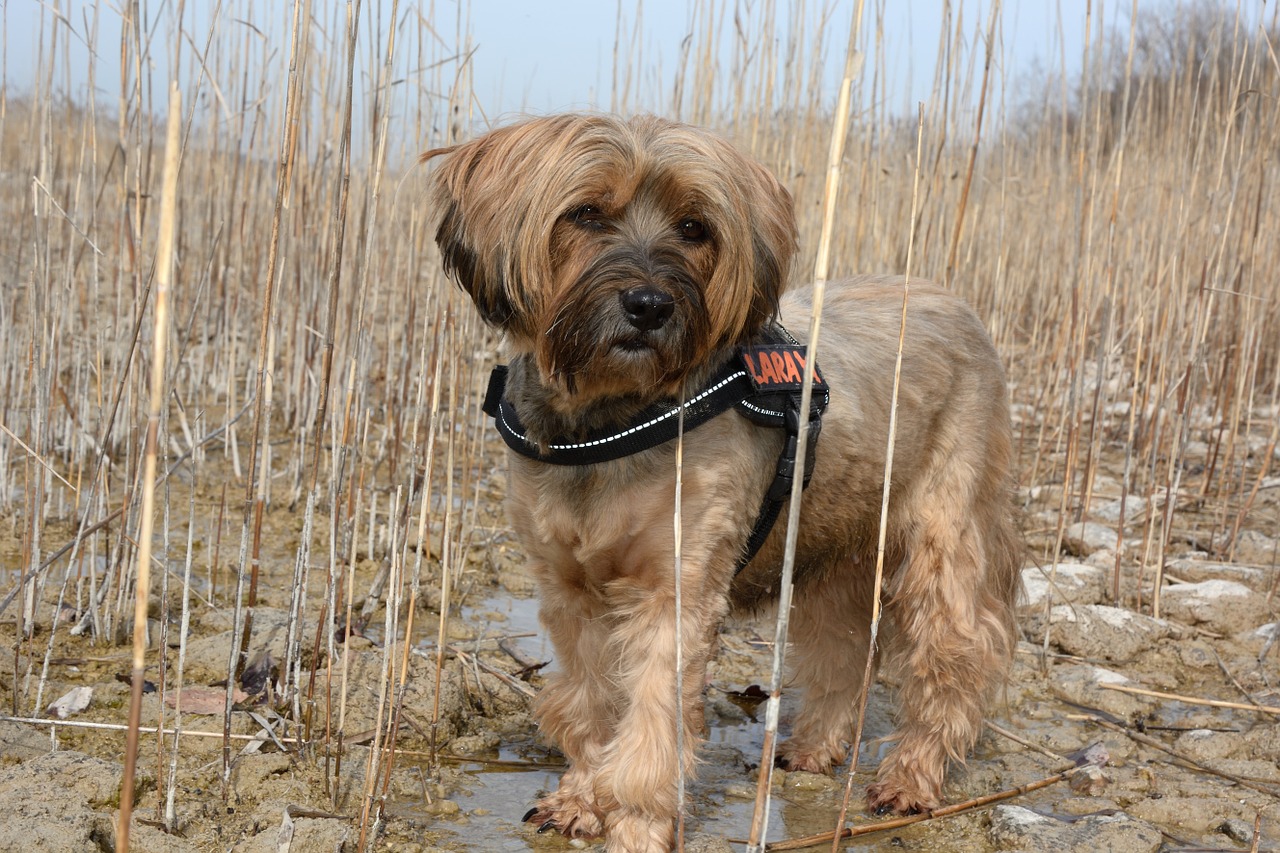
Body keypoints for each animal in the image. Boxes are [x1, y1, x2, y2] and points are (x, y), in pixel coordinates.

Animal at [424, 114, 1024, 850]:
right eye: (585, 212)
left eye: (694, 227)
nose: (648, 305)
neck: (612, 417)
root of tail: (956, 304)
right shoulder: (572, 593)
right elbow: (595, 707)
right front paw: (581, 797)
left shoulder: (676, 595)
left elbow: (650, 728)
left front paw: (636, 827)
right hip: (833, 548)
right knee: (843, 651)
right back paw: (813, 748)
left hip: (946, 540)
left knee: (955, 658)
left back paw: (911, 776)